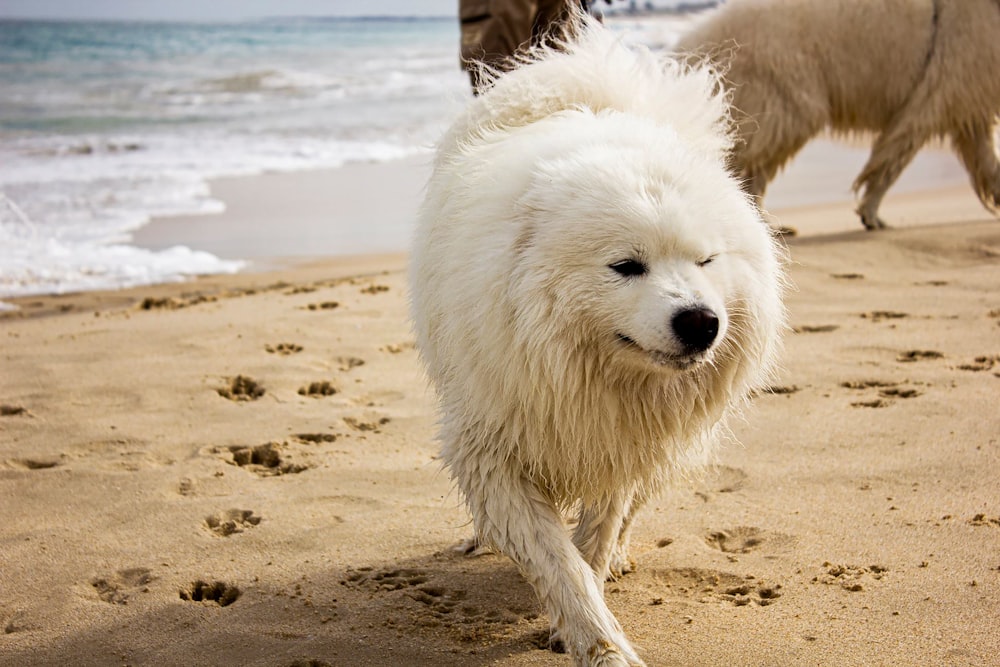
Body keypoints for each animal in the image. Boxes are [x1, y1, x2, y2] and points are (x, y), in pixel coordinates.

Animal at [410, 11, 784, 667]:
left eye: (706, 261)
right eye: (626, 266)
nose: (700, 321)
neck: (579, 371)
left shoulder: (623, 442)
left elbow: (598, 533)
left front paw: (588, 611)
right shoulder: (493, 445)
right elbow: (556, 559)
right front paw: (598, 639)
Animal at [680, 0, 1000, 232]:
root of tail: (698, 37)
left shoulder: (968, 96)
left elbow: (986, 160)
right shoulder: (938, 87)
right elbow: (894, 158)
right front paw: (872, 214)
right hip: (783, 99)